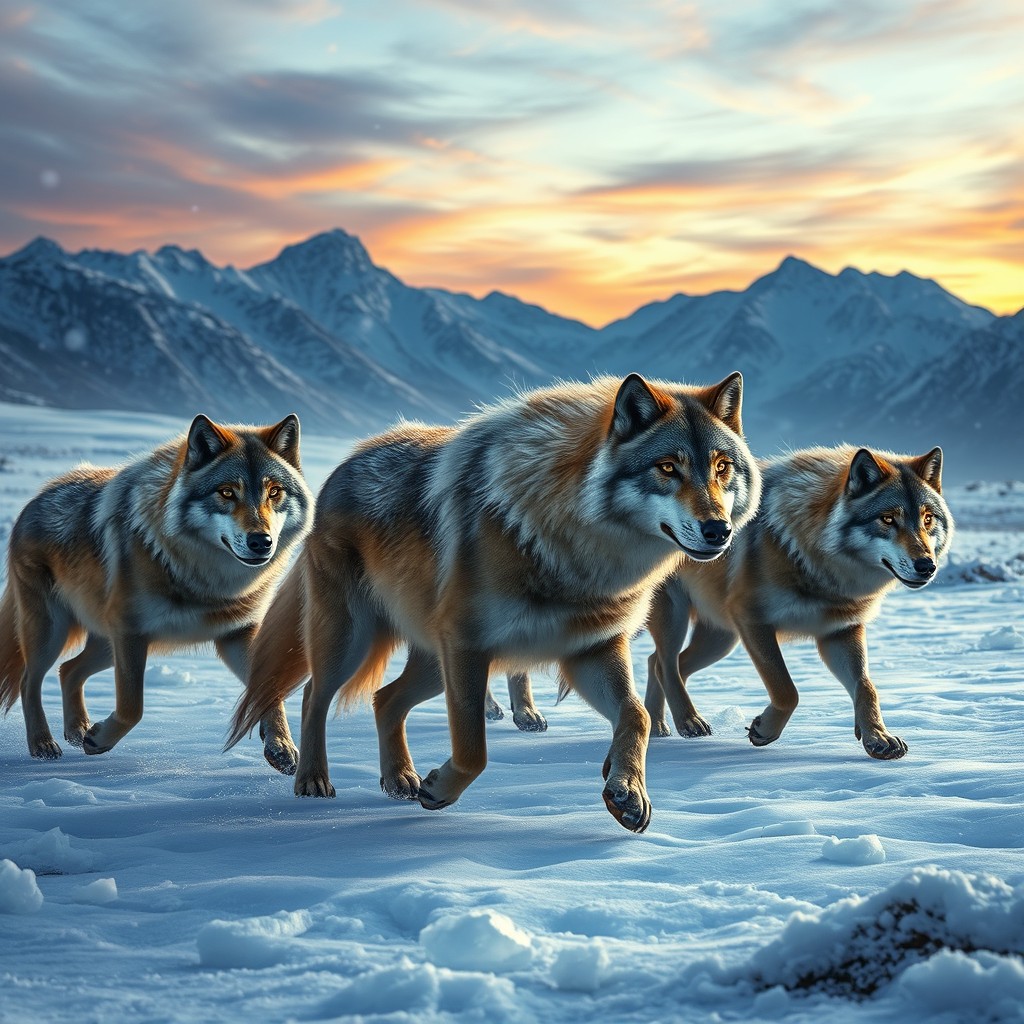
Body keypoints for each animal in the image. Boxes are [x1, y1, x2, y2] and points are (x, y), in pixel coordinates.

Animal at [0, 414, 313, 764]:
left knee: (68, 670)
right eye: (227, 492)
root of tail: (38, 496)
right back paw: (43, 744)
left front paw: (280, 746)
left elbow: (271, 687)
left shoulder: (237, 634)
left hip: (105, 645)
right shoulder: (131, 633)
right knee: (29, 680)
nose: (262, 542)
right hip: (55, 632)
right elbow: (132, 708)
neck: (205, 580)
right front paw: (100, 740)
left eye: (274, 492)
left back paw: (77, 730)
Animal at [227, 372, 761, 832]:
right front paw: (441, 789)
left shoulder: (593, 648)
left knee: (384, 699)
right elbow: (474, 750)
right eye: (668, 467)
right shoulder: (468, 648)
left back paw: (399, 779)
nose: (718, 530)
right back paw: (313, 780)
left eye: (722, 468)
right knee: (314, 696)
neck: (571, 547)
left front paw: (627, 792)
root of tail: (344, 462)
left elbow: (637, 716)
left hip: (430, 663)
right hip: (355, 640)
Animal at [643, 445, 953, 759]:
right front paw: (765, 730)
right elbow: (786, 689)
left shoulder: (840, 632)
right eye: (888, 519)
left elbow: (867, 687)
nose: (927, 566)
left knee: (657, 661)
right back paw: (688, 722)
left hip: (721, 640)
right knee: (666, 664)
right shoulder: (753, 621)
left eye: (928, 519)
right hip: (682, 620)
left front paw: (877, 737)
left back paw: (657, 727)